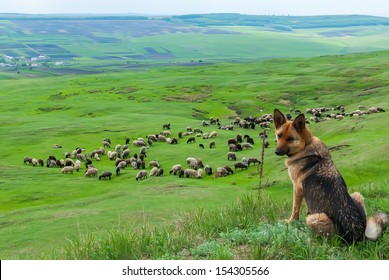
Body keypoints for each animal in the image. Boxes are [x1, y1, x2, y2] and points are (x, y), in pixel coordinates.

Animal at [272, 108, 386, 242]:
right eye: (279, 135)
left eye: (290, 138)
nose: (277, 152)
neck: (306, 144)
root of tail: (358, 236)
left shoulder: (297, 188)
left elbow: (295, 209)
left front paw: (290, 222)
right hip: (357, 195)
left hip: (313, 219)